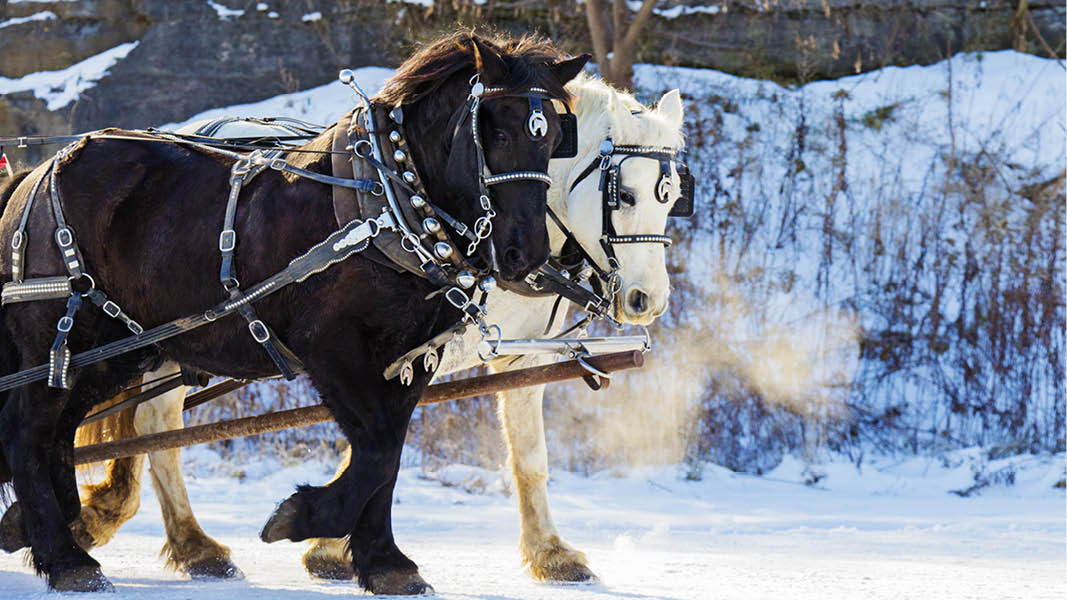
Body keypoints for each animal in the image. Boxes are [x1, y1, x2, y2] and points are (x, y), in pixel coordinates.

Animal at [0, 31, 584, 589]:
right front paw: (304, 516)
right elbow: (376, 448)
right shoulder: (333, 349)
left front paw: (383, 562)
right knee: (27, 432)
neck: (386, 203)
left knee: (56, 432)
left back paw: (47, 525)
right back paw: (65, 558)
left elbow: (389, 453)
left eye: (554, 139)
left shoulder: (410, 359)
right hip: (62, 336)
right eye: (498, 133)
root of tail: (38, 171)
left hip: (112, 352)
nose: (527, 253)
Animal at [77, 72, 691, 580]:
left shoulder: (523, 356)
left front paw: (550, 552)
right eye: (624, 194)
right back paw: (183, 540)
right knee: (153, 419)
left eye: (674, 198)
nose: (648, 300)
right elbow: (375, 447)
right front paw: (331, 543)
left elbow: (528, 459)